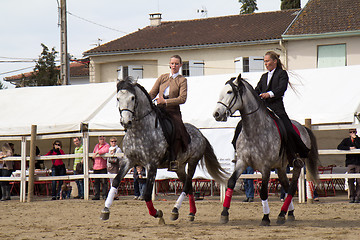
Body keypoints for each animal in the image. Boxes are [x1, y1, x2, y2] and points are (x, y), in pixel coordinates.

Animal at [100, 78, 226, 224]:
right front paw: (105, 210)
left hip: (193, 162)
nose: (126, 122)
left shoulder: (151, 165)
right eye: (118, 98)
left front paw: (158, 214)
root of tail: (200, 133)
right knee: (189, 186)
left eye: (132, 98)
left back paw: (175, 210)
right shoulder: (129, 161)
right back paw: (190, 213)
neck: (139, 131)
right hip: (179, 167)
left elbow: (147, 194)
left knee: (187, 185)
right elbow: (115, 181)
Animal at [212, 75, 320, 227]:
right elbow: (231, 182)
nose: (216, 114)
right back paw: (287, 213)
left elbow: (263, 192)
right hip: (281, 167)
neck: (254, 130)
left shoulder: (265, 167)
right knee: (286, 186)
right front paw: (224, 214)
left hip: (296, 165)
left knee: (292, 187)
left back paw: (282, 214)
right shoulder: (242, 162)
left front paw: (265, 217)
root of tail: (302, 127)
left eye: (229, 92)